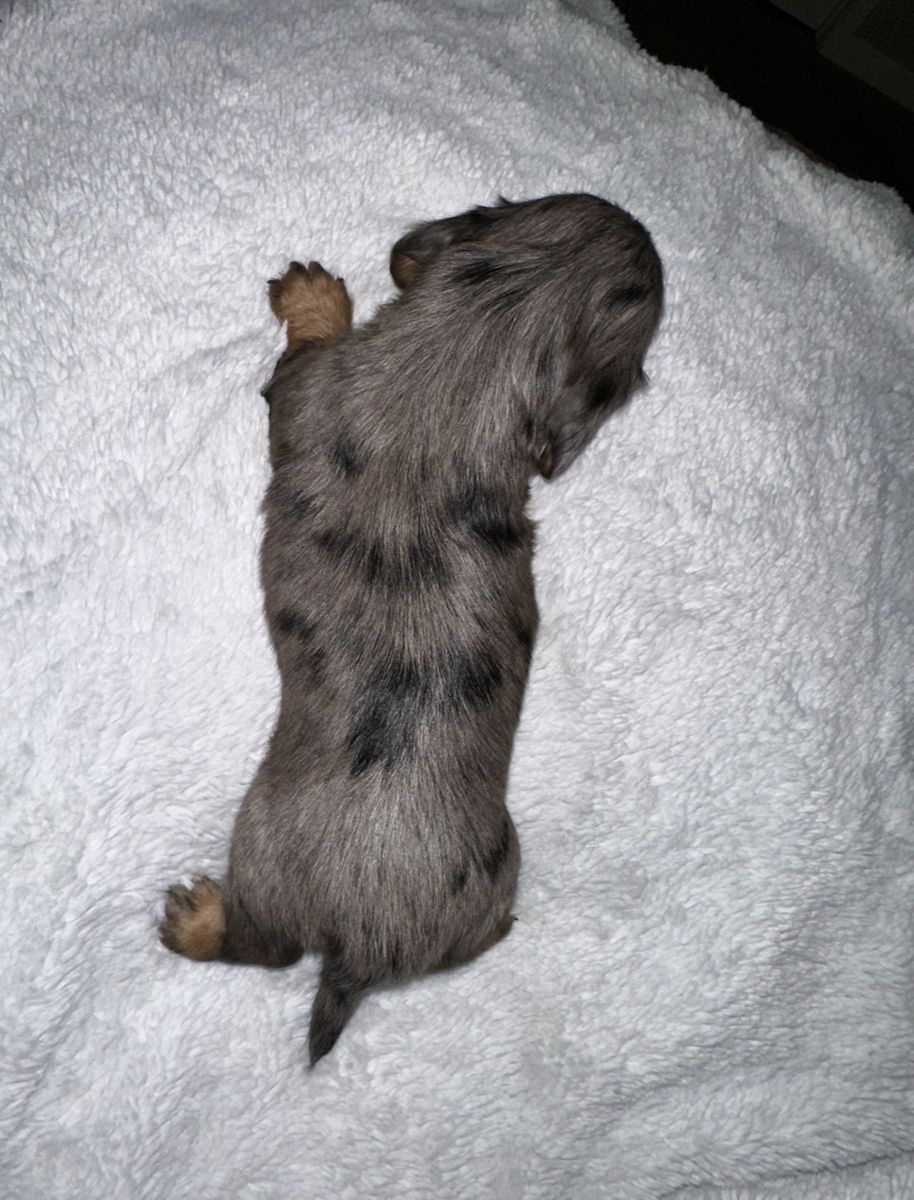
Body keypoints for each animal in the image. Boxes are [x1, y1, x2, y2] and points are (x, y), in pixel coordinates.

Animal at [160, 193, 663, 1065]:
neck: (478, 341)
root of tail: (363, 948)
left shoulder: (308, 383)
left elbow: (305, 351)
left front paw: (315, 294)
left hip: (260, 844)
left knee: (265, 947)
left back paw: (197, 919)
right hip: (501, 865)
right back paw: (500, 928)